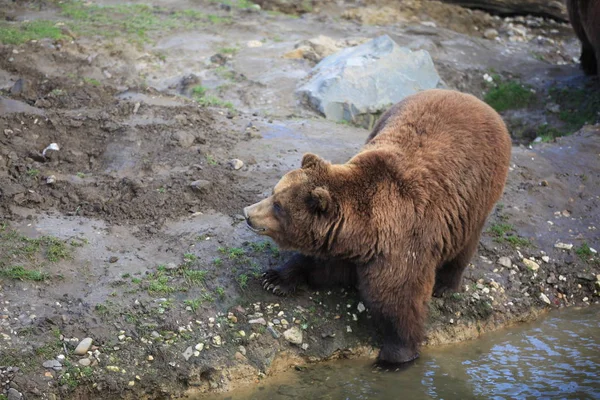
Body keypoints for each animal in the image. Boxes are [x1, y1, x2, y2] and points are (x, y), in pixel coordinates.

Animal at [244, 89, 510, 368]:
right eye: (274, 192)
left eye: (278, 206)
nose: (248, 214)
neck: (363, 233)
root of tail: (472, 98)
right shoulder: (343, 247)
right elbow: (320, 265)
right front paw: (275, 279)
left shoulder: (401, 245)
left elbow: (398, 300)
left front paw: (395, 356)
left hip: (477, 196)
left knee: (465, 242)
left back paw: (445, 285)